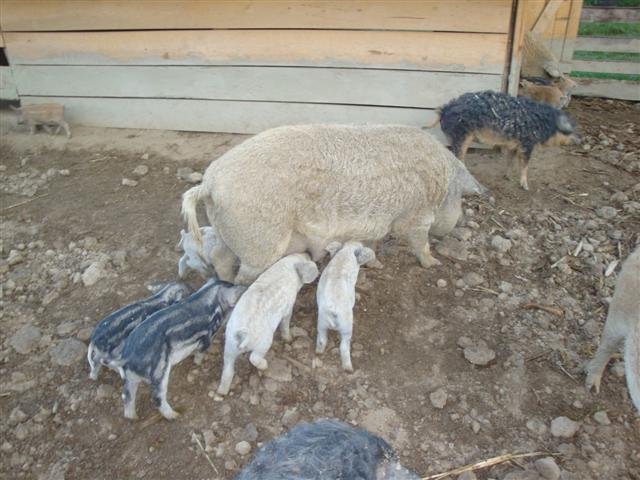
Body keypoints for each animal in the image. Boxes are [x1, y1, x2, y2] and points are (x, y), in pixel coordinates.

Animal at [182, 124, 486, 286]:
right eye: (460, 198)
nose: (453, 225)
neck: (442, 182)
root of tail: (209, 183)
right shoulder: (415, 216)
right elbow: (419, 242)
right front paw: (433, 264)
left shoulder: (378, 224)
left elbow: (371, 244)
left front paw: (375, 265)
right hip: (259, 238)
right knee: (245, 275)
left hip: (230, 231)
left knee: (219, 256)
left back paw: (223, 280)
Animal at [216, 254, 318, 396]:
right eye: (307, 260)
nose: (308, 253)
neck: (290, 267)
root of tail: (242, 335)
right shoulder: (288, 307)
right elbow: (286, 322)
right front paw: (289, 339)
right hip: (263, 341)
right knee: (254, 357)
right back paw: (265, 366)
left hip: (229, 346)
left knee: (227, 370)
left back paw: (221, 393)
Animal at [316, 241, 375, 372]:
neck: (347, 251)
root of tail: (333, 310)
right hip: (346, 325)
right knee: (344, 346)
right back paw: (349, 368)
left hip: (321, 322)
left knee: (322, 339)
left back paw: (319, 352)